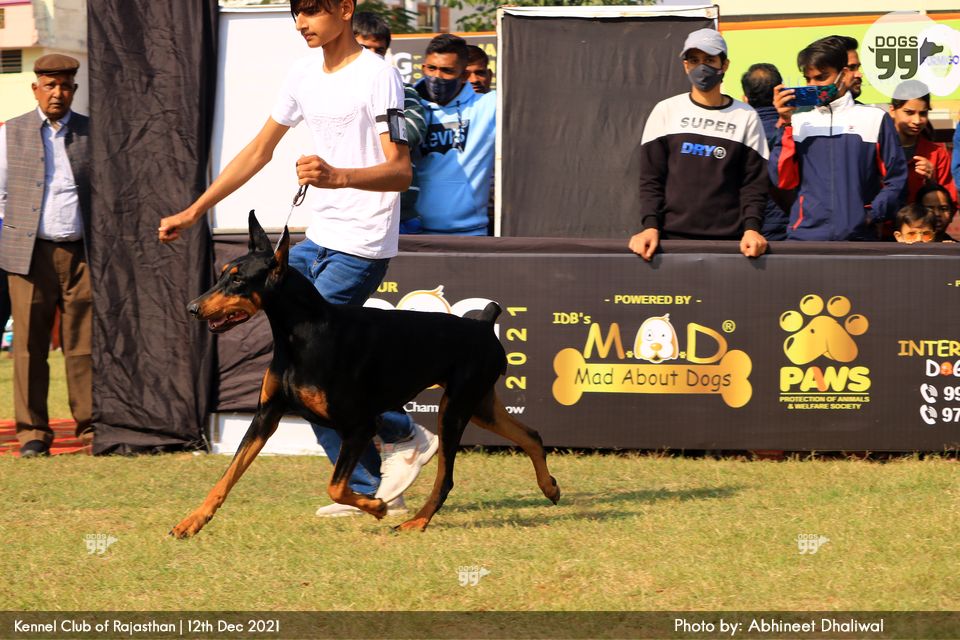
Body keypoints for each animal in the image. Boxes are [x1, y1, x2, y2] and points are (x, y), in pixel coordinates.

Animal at [170, 212, 560, 538]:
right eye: (223, 273)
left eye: (238, 281)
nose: (192, 307)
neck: (300, 334)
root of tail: (483, 324)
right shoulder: (267, 415)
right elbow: (227, 476)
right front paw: (191, 522)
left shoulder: (359, 425)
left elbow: (335, 485)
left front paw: (377, 506)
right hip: (478, 404)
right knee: (531, 435)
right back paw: (550, 487)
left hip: (455, 409)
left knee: (446, 477)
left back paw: (416, 521)